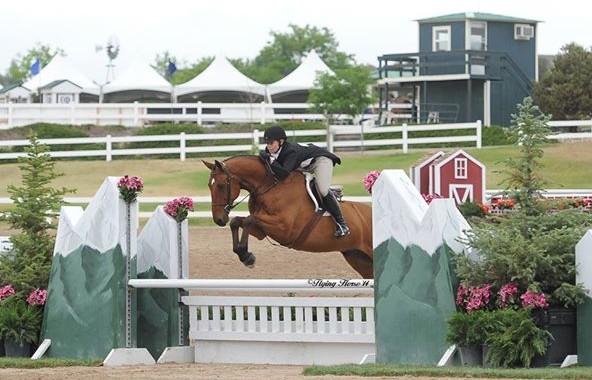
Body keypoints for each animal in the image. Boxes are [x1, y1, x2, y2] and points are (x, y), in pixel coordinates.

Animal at [201, 155, 372, 280]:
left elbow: (249, 219)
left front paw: (247, 256)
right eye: (209, 185)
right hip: (357, 258)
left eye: (221, 186)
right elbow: (237, 221)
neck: (270, 186)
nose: (218, 219)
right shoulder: (261, 231)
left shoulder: (285, 229)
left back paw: (342, 227)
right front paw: (244, 255)